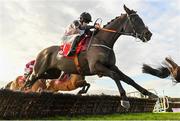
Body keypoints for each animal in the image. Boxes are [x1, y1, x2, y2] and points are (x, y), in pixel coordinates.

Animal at [24, 4, 157, 108]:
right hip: (39, 69)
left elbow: (128, 79)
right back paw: (25, 90)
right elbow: (115, 76)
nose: (148, 34)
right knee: (31, 79)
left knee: (41, 78)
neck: (103, 41)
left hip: (53, 72)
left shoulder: (111, 66)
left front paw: (150, 94)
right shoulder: (96, 67)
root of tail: (42, 52)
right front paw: (124, 100)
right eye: (135, 20)